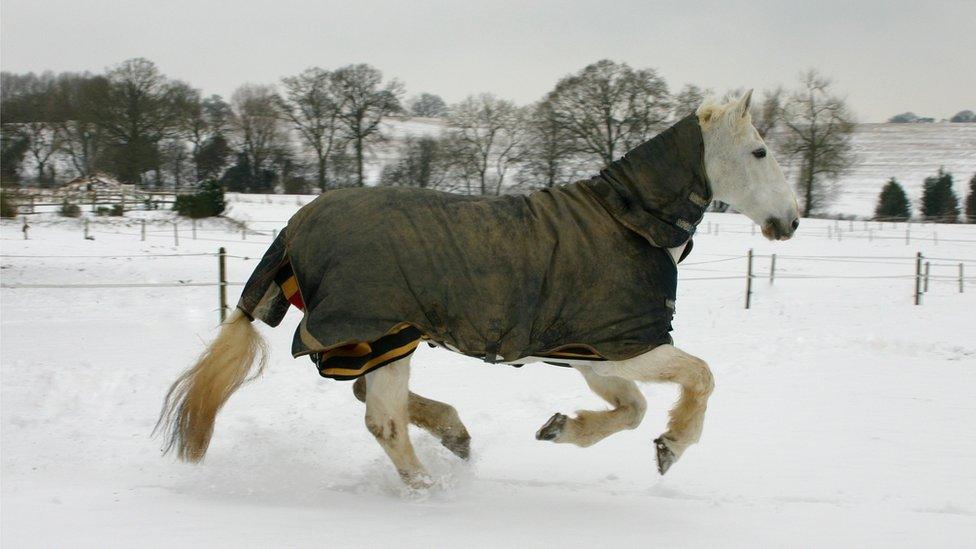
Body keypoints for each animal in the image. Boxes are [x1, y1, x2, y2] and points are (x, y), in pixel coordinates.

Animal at [158, 91, 800, 488]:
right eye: (760, 151)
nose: (791, 221)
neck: (629, 221)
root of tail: (295, 225)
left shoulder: (593, 354)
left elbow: (633, 410)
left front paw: (560, 428)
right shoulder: (631, 345)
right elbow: (699, 378)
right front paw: (674, 445)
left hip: (383, 341)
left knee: (370, 401)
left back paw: (456, 436)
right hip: (384, 334)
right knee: (382, 420)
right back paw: (431, 489)